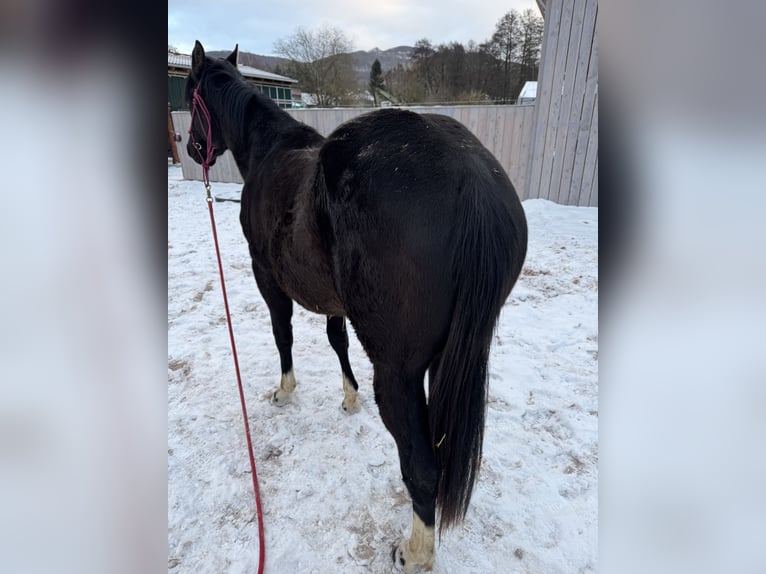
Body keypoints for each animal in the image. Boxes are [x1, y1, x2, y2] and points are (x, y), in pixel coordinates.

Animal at [185, 41, 528, 572]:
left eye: (188, 92)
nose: (189, 149)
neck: (270, 152)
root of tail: (471, 181)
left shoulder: (267, 276)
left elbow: (282, 333)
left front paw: (285, 390)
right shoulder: (332, 298)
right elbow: (336, 339)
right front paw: (348, 397)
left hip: (398, 374)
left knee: (423, 467)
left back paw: (414, 552)